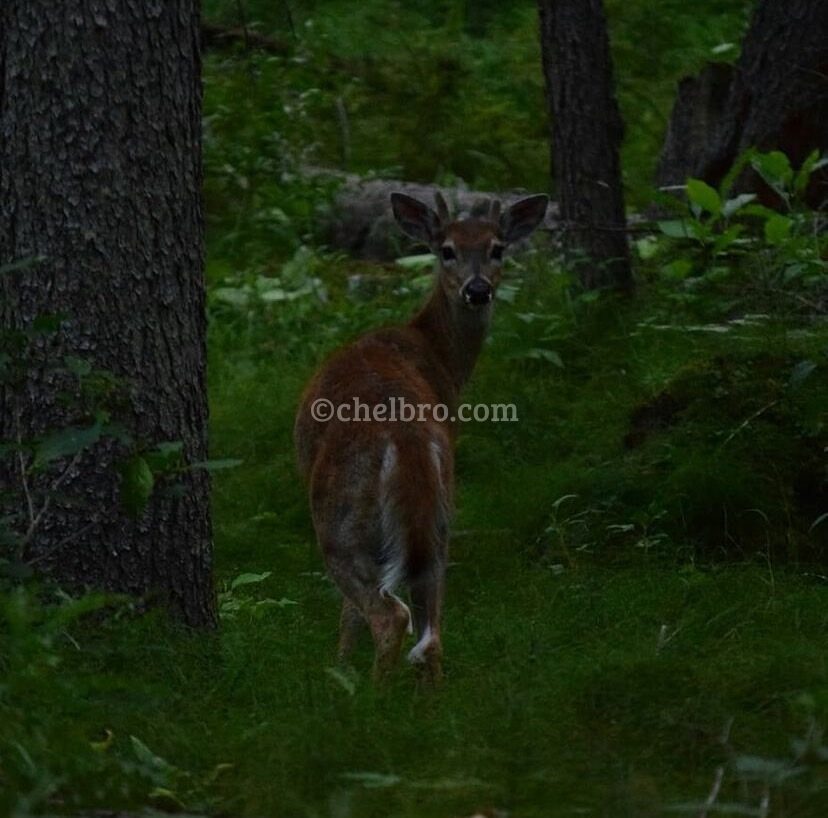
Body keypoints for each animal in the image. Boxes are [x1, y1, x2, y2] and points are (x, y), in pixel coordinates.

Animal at [294, 188, 548, 680]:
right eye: (447, 249)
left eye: (497, 248)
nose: (477, 290)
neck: (437, 355)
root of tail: (405, 438)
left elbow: (348, 615)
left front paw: (339, 668)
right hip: (439, 516)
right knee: (431, 629)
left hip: (340, 520)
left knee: (387, 614)